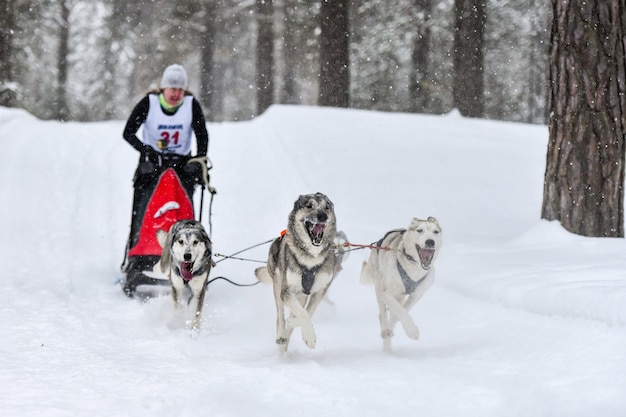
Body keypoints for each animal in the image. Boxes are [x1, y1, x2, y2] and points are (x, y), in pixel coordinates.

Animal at [254, 192, 336, 352]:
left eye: (327, 207)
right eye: (309, 206)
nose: (322, 216)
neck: (311, 259)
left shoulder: (320, 290)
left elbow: (308, 312)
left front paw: (295, 324)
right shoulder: (286, 291)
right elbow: (302, 313)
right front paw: (309, 337)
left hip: (302, 294)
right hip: (278, 283)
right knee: (280, 315)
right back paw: (281, 336)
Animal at [358, 218, 442, 352]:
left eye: (436, 232)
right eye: (420, 230)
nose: (430, 241)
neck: (414, 268)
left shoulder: (417, 295)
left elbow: (401, 311)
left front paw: (403, 325)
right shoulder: (386, 293)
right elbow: (400, 311)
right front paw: (412, 331)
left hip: (399, 295)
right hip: (379, 284)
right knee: (382, 313)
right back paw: (385, 332)